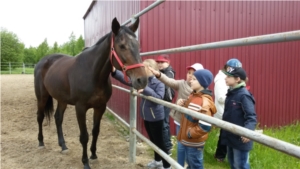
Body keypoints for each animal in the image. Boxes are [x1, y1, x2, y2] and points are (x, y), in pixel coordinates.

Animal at [34, 17, 147, 168]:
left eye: (137, 45)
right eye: (122, 46)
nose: (142, 80)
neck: (93, 73)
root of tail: (42, 61)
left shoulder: (100, 107)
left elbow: (95, 131)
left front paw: (93, 155)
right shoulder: (80, 108)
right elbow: (84, 136)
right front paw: (85, 162)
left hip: (62, 100)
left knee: (58, 118)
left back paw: (63, 146)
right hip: (42, 97)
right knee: (40, 117)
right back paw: (41, 142)